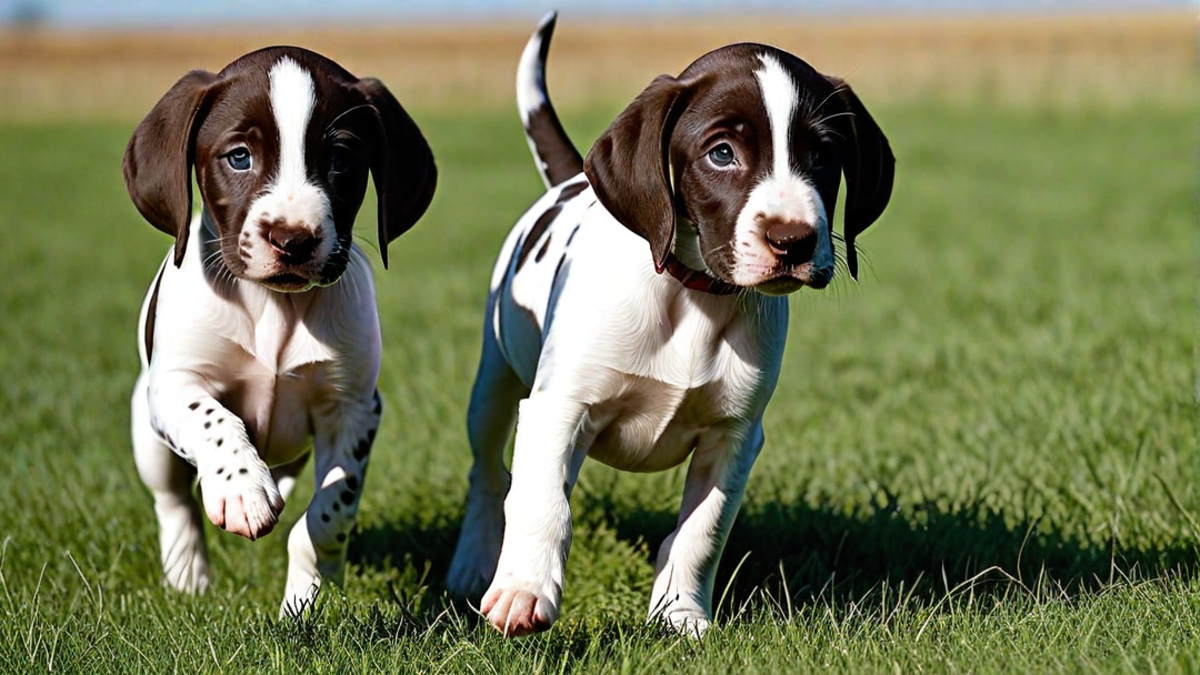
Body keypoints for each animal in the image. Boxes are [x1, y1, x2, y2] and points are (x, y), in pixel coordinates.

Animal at [121, 44, 439, 612]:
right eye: (238, 156)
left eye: (341, 160)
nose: (293, 240)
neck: (275, 308)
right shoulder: (176, 386)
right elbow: (215, 420)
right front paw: (242, 488)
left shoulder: (354, 409)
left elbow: (329, 514)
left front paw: (307, 598)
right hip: (148, 432)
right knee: (173, 502)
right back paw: (188, 576)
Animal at [446, 15, 897, 634]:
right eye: (722, 153)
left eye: (824, 155)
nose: (793, 240)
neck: (693, 297)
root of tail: (569, 182)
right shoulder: (559, 407)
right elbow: (543, 503)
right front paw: (523, 591)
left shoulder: (734, 437)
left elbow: (701, 533)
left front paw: (680, 614)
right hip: (494, 386)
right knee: (489, 475)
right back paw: (473, 563)